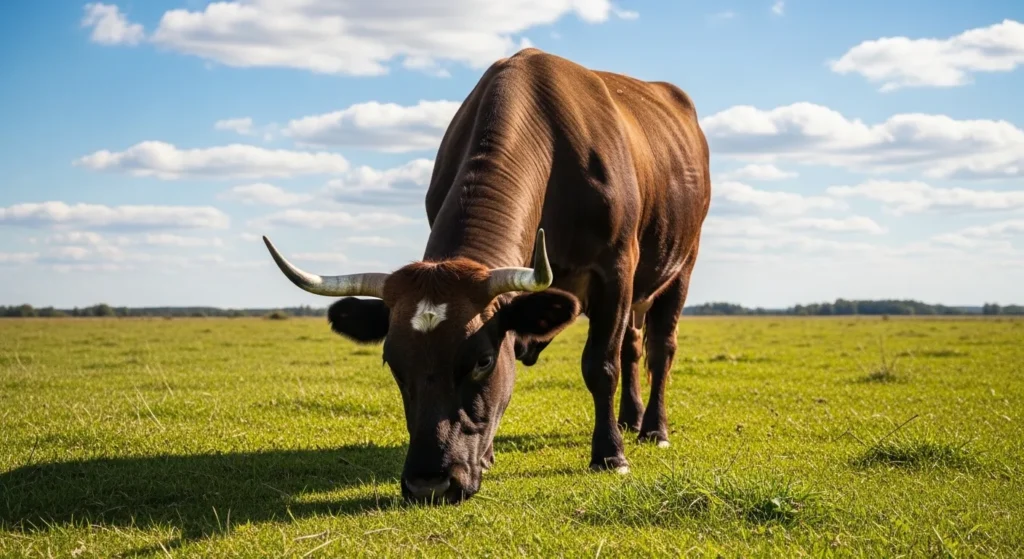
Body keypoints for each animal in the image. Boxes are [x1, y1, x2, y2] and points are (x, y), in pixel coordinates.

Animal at [262, 47, 711, 504]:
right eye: (392, 361)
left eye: (482, 360)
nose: (429, 484)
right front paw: (489, 455)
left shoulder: (616, 270)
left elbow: (600, 364)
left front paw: (609, 456)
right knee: (633, 346)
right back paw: (630, 419)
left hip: (681, 264)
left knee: (660, 347)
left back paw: (653, 428)